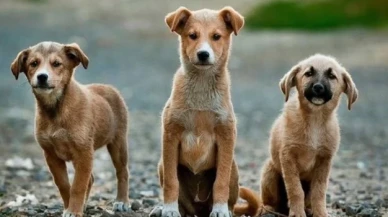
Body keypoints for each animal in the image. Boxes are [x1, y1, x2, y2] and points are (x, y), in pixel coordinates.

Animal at [10, 41, 131, 216]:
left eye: (56, 64)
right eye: (34, 63)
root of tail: (109, 88)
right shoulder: (51, 155)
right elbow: (64, 185)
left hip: (118, 143)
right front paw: (70, 207)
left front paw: (73, 210)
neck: (56, 109)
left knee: (122, 172)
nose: (42, 77)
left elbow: (78, 186)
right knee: (91, 178)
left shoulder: (84, 152)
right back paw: (85, 204)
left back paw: (122, 201)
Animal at [150, 6, 260, 217]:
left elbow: (220, 182)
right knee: (182, 201)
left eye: (216, 36)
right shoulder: (170, 134)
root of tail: (198, 208)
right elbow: (171, 182)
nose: (203, 54)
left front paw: (220, 210)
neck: (201, 86)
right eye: (192, 35)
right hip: (162, 165)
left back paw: (225, 210)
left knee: (230, 197)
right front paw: (169, 209)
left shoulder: (226, 135)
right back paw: (165, 209)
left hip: (234, 168)